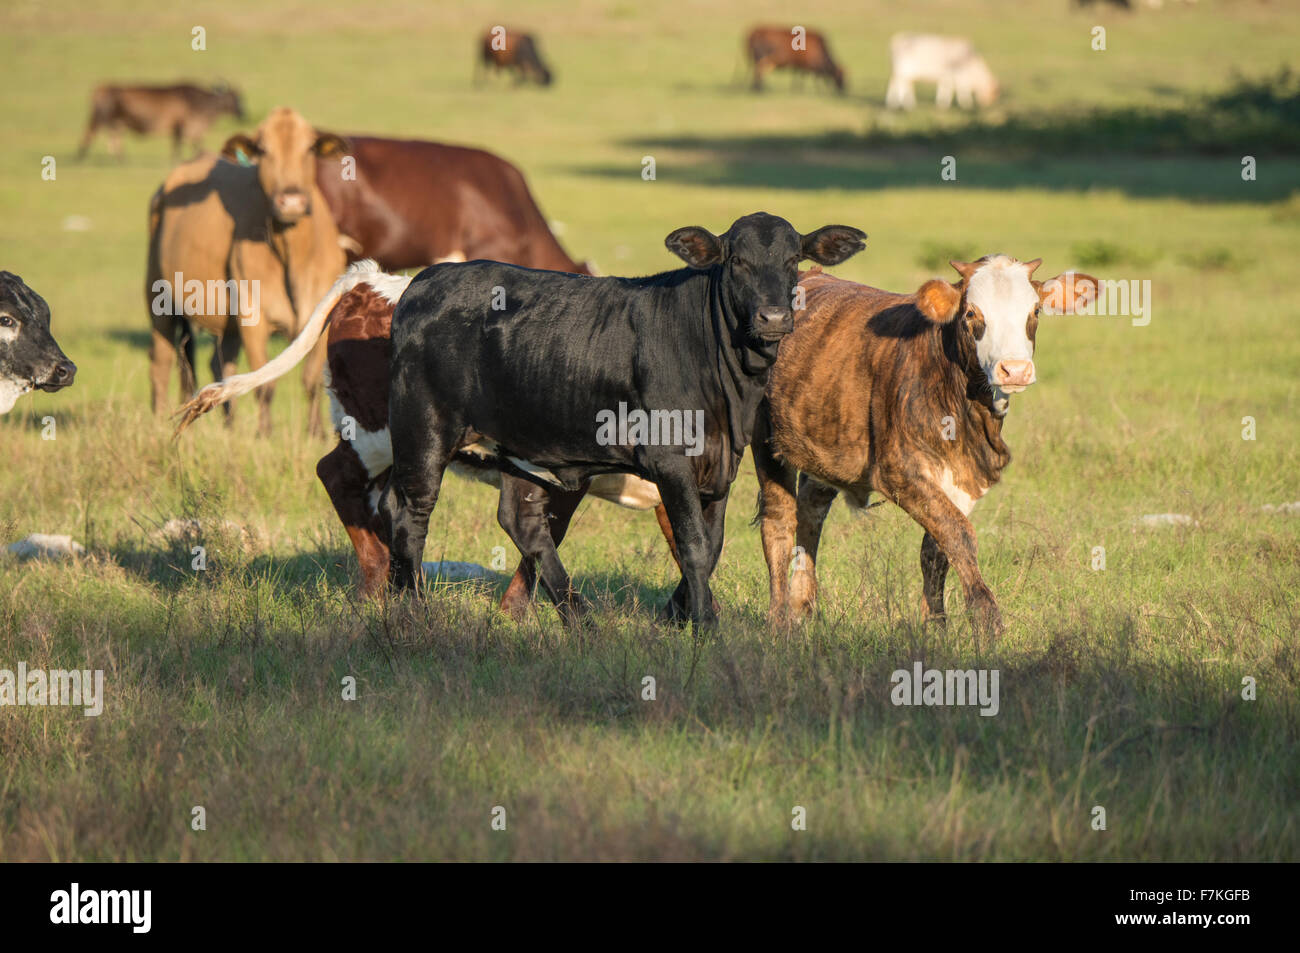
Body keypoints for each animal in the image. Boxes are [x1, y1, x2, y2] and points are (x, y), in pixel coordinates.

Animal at [77, 83, 244, 161]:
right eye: (234, 98)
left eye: (241, 98)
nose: (243, 114)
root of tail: (99, 88)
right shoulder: (181, 127)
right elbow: (179, 148)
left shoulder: (189, 130)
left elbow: (190, 146)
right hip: (105, 119)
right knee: (93, 135)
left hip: (115, 122)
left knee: (111, 139)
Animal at [146, 107, 347, 436]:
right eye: (263, 150)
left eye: (309, 148)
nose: (291, 200)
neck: (293, 252)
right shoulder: (254, 315)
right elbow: (265, 383)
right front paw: (264, 433)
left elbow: (311, 379)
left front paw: (315, 432)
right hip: (158, 299)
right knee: (161, 362)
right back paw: (160, 418)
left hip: (227, 320)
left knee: (220, 363)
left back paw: (230, 425)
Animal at [172, 260, 680, 611]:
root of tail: (372, 281)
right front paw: (514, 614)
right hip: (378, 433)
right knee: (338, 475)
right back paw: (378, 581)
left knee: (374, 499)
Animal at [382, 213, 867, 628]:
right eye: (737, 261)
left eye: (793, 260)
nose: (774, 318)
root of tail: (426, 280)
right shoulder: (670, 459)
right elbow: (692, 545)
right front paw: (704, 626)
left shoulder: (721, 462)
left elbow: (711, 546)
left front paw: (678, 616)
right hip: (422, 429)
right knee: (411, 516)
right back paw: (414, 611)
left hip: (520, 442)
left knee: (523, 524)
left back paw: (581, 622)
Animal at [753, 258, 1099, 637]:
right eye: (971, 313)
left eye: (1035, 310)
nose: (1015, 370)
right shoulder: (899, 471)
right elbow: (959, 534)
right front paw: (985, 618)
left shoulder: (962, 478)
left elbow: (936, 548)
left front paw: (935, 625)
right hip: (766, 440)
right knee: (778, 524)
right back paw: (778, 620)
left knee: (810, 513)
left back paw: (802, 609)